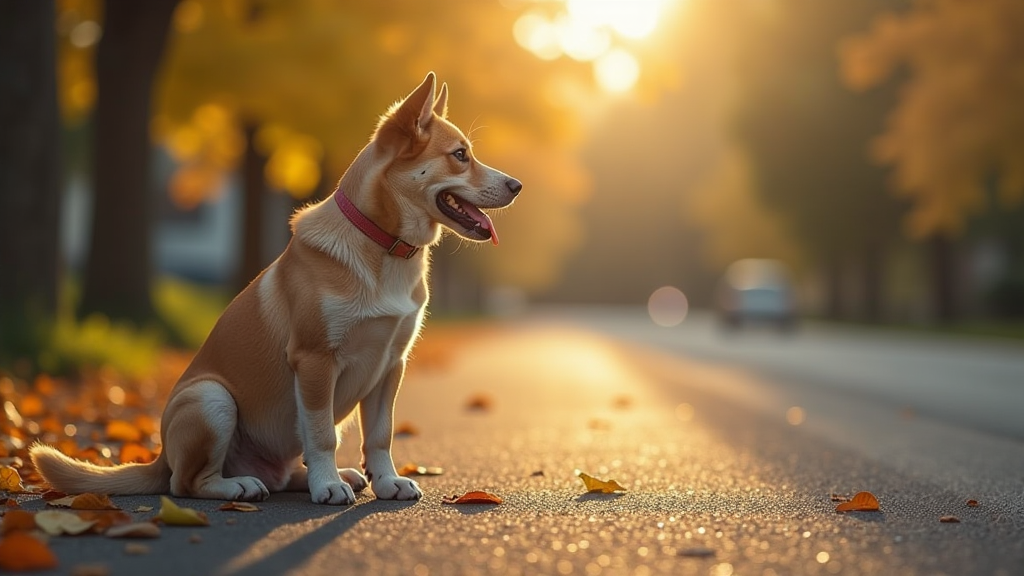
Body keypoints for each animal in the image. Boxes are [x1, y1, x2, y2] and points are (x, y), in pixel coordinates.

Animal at [29, 72, 524, 502]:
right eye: (460, 155)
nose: (517, 185)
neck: (383, 248)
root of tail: (158, 458)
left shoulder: (391, 365)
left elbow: (380, 436)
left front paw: (385, 482)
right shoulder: (315, 360)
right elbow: (321, 435)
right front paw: (328, 488)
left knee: (282, 473)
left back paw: (327, 477)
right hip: (211, 400)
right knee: (187, 483)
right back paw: (244, 485)